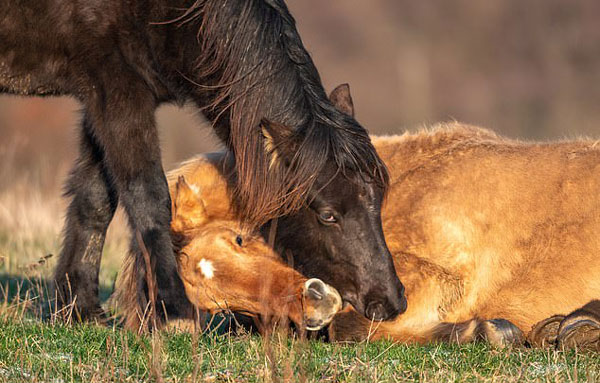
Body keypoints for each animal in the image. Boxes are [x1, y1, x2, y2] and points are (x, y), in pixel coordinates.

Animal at [1, 0, 408, 326]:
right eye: (327, 215)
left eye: (378, 199)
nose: (390, 302)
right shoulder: (118, 93)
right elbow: (149, 198)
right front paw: (173, 311)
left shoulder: (98, 100)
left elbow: (95, 201)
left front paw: (81, 310)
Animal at [159, 122, 600, 348]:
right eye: (220, 304)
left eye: (238, 239)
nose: (316, 303)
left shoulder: (432, 283)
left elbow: (347, 327)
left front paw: (481, 331)